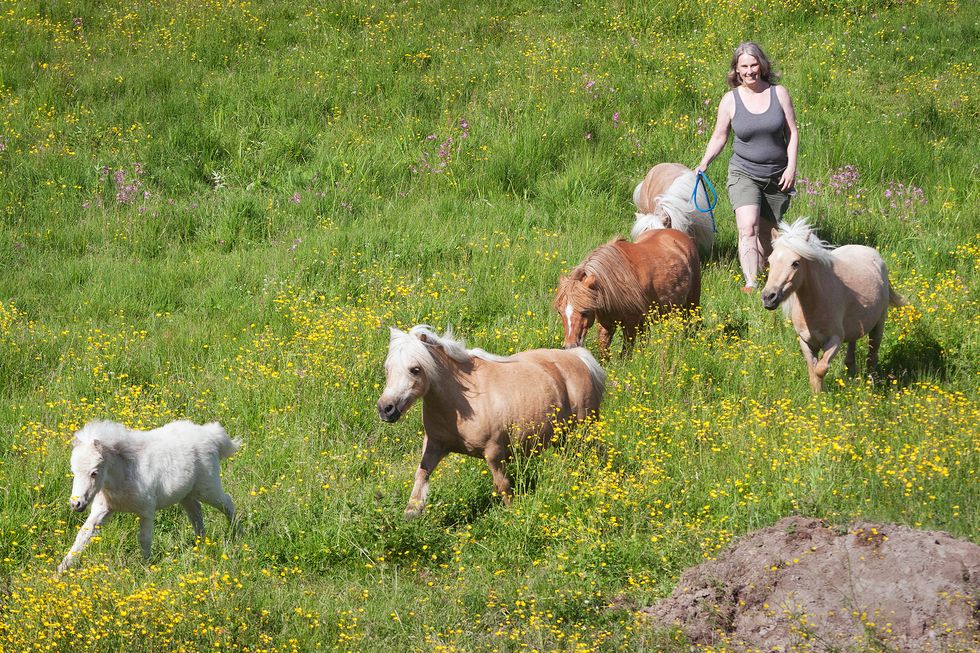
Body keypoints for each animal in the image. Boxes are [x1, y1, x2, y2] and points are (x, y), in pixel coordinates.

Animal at [58, 420, 240, 568]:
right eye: (73, 471)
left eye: (94, 473)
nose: (76, 504)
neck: (124, 474)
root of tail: (211, 435)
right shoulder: (102, 509)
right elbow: (83, 536)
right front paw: (60, 571)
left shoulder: (146, 511)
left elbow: (144, 539)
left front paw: (145, 568)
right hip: (185, 495)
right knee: (196, 513)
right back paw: (200, 545)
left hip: (208, 489)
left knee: (227, 502)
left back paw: (238, 534)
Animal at [378, 324, 600, 516]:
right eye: (387, 369)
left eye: (415, 369)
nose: (385, 409)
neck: (462, 402)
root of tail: (578, 357)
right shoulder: (434, 446)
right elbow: (421, 474)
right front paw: (411, 513)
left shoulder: (494, 452)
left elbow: (502, 486)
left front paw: (513, 515)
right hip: (562, 438)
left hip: (584, 432)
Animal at [556, 229, 700, 360]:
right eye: (560, 312)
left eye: (585, 311)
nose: (570, 346)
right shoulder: (605, 324)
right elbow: (604, 352)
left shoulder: (631, 323)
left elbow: (625, 354)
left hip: (691, 305)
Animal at [760, 219, 908, 392]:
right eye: (770, 261)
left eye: (795, 263)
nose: (768, 297)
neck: (814, 305)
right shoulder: (806, 342)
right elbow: (812, 371)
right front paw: (817, 395)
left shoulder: (835, 340)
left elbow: (820, 368)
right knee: (852, 350)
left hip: (879, 324)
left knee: (872, 357)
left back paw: (871, 385)